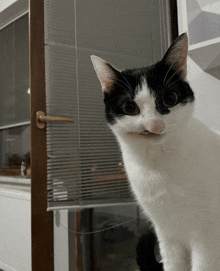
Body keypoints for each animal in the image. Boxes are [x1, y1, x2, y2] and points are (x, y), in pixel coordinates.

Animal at [90, 34, 220, 271]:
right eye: (130, 108)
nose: (154, 126)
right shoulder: (167, 234)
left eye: (170, 98)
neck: (159, 164)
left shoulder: (207, 236)